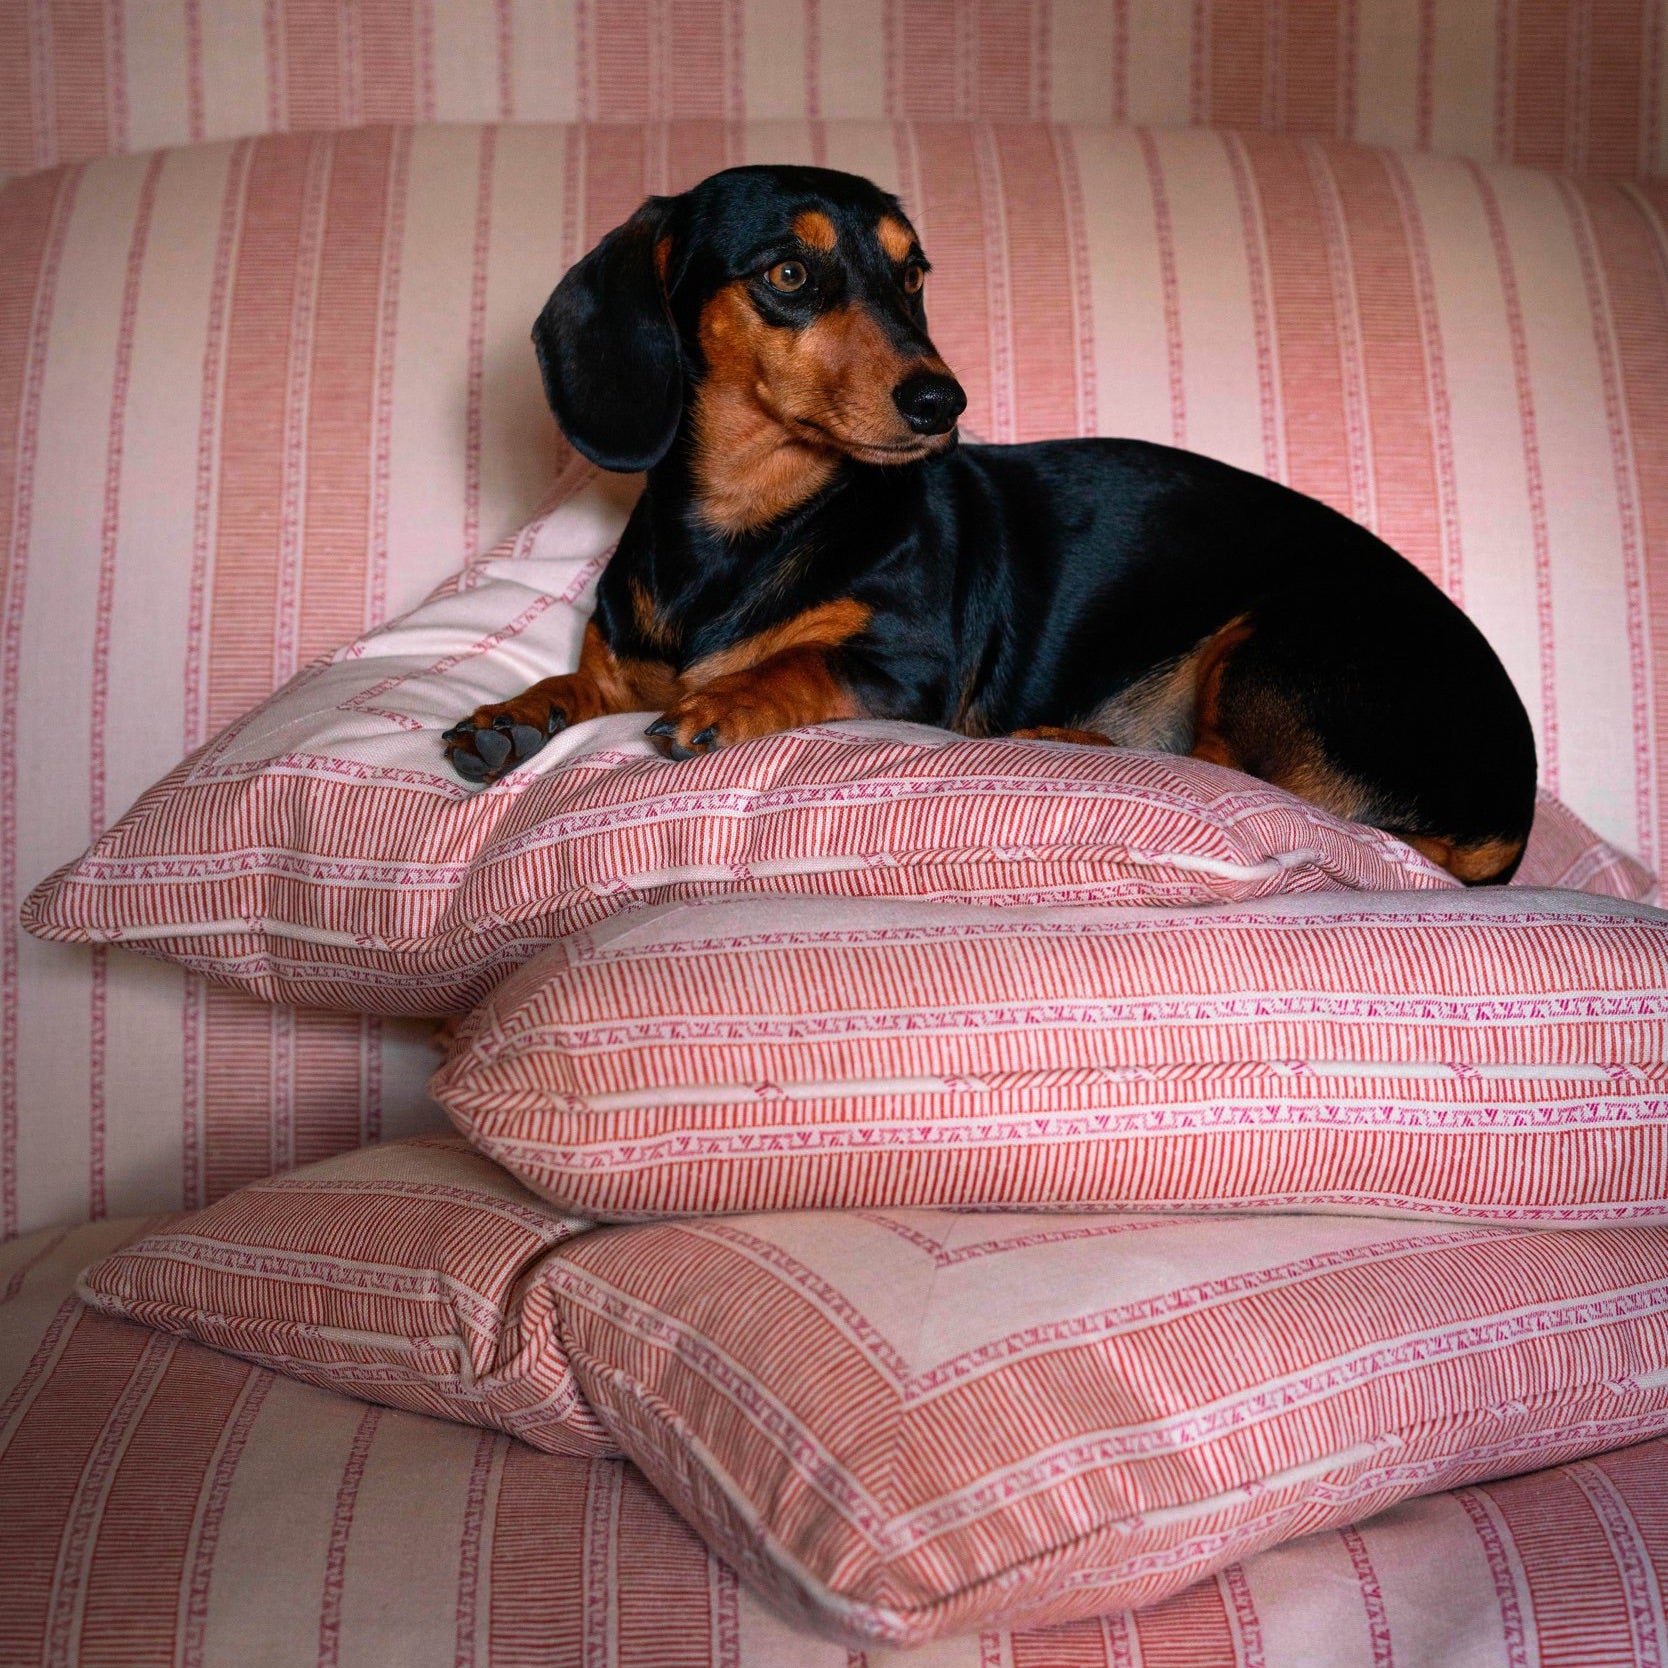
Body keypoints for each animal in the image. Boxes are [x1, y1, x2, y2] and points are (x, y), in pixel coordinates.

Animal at [443, 165, 1534, 887]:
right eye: (790, 274)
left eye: (913, 273)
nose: (943, 403)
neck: (749, 527)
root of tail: (1511, 803)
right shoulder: (622, 665)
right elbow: (576, 683)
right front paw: (514, 715)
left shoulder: (906, 669)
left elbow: (799, 662)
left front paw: (727, 702)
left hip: (1270, 641)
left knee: (1236, 779)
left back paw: (1079, 741)